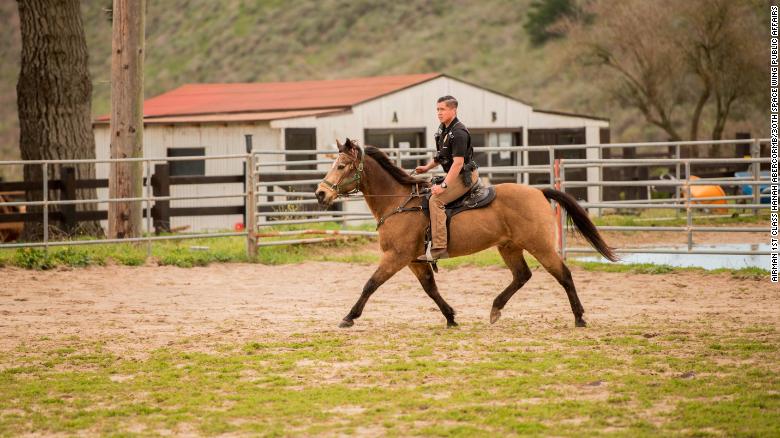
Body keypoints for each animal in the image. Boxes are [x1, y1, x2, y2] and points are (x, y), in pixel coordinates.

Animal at [312, 139, 616, 328]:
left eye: (341, 166)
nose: (320, 193)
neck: (398, 201)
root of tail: (538, 192)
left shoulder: (395, 257)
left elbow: (370, 284)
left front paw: (349, 317)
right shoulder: (413, 261)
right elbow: (431, 289)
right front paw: (450, 317)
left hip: (540, 246)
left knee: (563, 274)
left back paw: (579, 317)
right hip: (509, 246)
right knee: (522, 276)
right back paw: (495, 308)